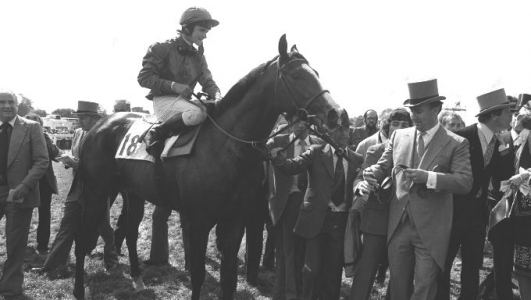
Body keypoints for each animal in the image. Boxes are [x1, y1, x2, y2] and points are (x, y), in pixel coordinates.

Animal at [76, 35, 344, 300]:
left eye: (316, 73)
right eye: (297, 75)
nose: (336, 114)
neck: (225, 146)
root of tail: (99, 126)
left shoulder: (235, 218)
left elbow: (229, 278)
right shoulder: (199, 219)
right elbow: (198, 274)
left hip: (133, 192)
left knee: (130, 232)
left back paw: (138, 280)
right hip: (96, 191)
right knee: (82, 239)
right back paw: (79, 290)